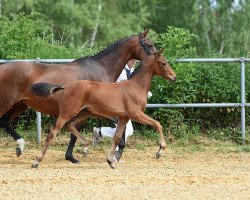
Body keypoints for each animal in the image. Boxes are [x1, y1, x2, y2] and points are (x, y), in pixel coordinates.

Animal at [30, 49, 176, 168]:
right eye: (164, 63)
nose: (174, 77)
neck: (135, 86)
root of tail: (66, 86)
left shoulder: (124, 117)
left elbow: (116, 137)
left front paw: (110, 161)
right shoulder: (135, 114)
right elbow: (157, 124)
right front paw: (160, 150)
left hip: (84, 113)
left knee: (70, 125)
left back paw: (86, 146)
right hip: (67, 112)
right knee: (53, 132)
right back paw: (36, 161)